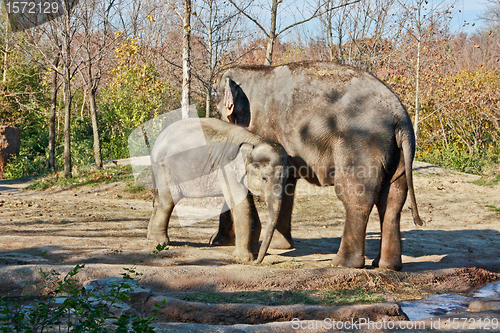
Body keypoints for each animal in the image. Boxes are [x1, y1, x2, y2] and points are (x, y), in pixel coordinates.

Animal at [210, 61, 422, 272]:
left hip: (360, 146)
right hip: (397, 154)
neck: (253, 70)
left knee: (356, 196)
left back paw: (342, 263)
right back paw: (387, 266)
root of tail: (401, 118)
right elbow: (287, 185)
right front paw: (280, 246)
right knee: (392, 199)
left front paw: (219, 241)